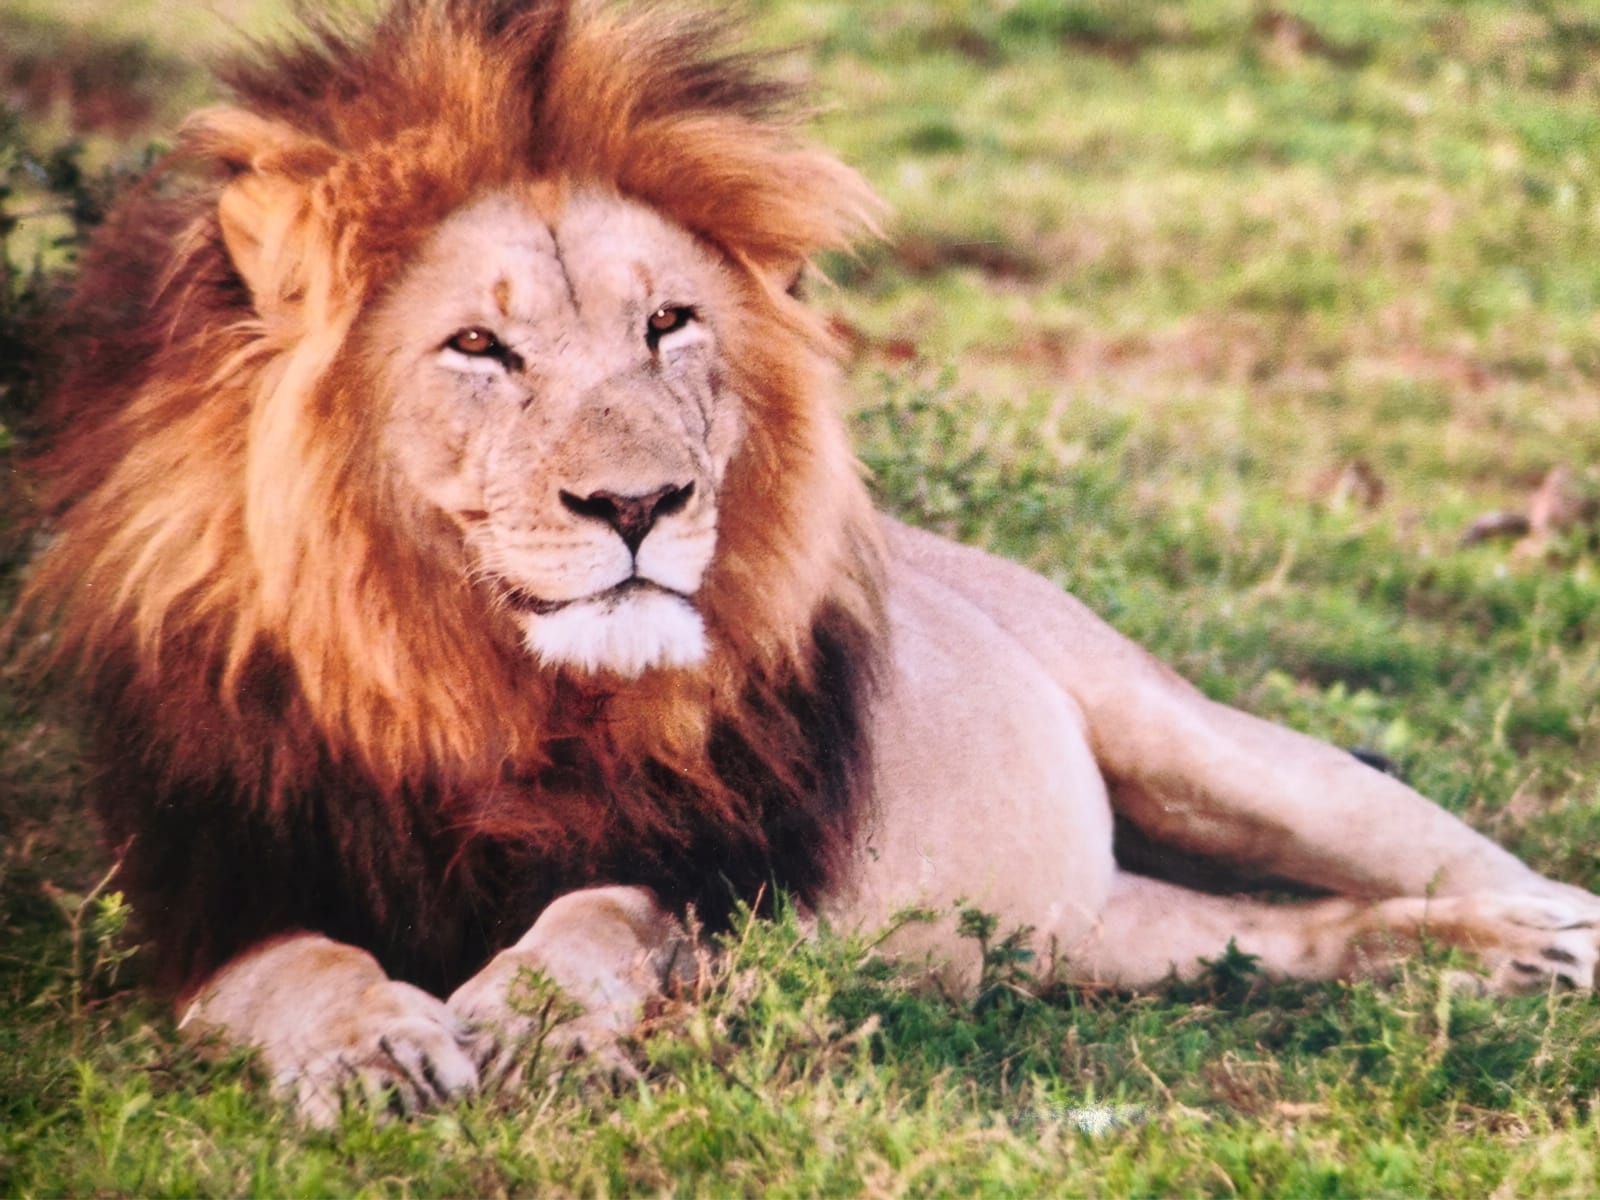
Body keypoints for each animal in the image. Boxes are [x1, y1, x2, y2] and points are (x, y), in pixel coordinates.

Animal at [18, 0, 1600, 1124]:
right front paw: (375, 1055)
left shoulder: (731, 864)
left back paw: (1543, 938)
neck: (484, 681)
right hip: (1095, 934)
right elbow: (301, 971)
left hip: (1209, 750)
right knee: (1301, 933)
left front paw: (528, 1023)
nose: (640, 503)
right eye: (479, 346)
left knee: (1420, 848)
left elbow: (599, 913)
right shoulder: (215, 884)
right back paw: (1491, 958)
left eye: (668, 323)